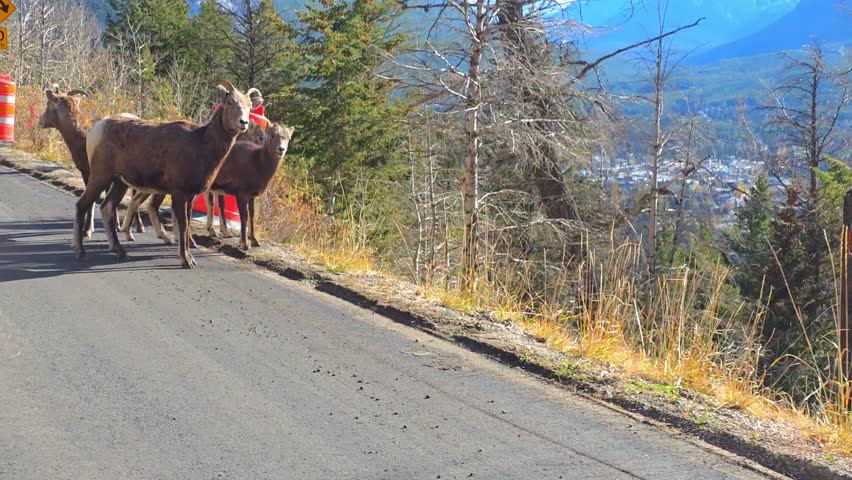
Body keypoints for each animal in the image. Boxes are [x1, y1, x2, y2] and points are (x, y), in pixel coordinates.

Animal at [75, 80, 251, 269]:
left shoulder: (190, 196)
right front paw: (186, 260)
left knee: (106, 207)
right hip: (100, 176)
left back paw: (119, 250)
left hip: (119, 183)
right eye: (230, 102)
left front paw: (188, 257)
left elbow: (186, 226)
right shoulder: (179, 193)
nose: (244, 122)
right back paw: (80, 251)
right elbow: (182, 225)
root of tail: (97, 129)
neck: (202, 144)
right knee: (82, 205)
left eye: (250, 106)